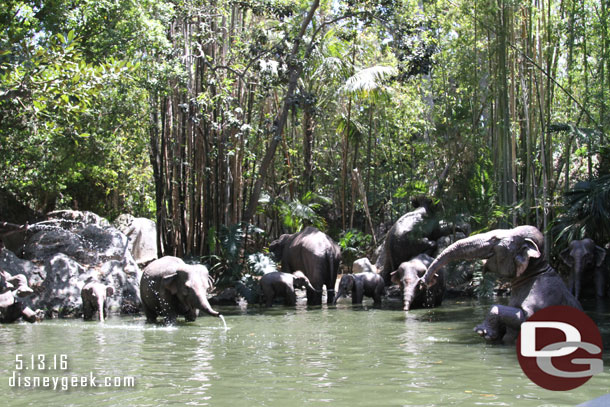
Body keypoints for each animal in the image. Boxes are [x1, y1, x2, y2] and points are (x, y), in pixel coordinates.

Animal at [418, 226, 580, 344]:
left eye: (495, 239)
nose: (425, 281)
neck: (537, 269)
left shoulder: (544, 295)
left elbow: (528, 320)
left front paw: (481, 331)